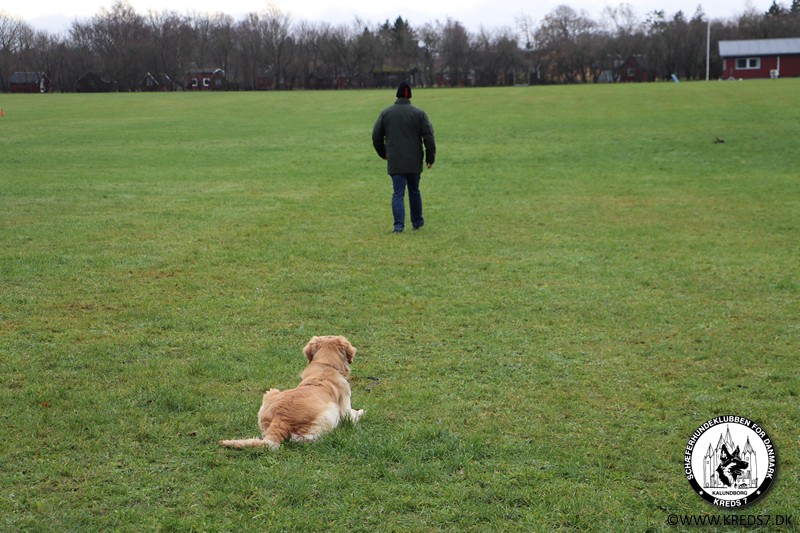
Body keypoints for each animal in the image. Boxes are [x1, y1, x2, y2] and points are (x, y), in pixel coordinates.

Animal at [221, 335, 364, 450]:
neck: (325, 366)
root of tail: (281, 418)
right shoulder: (345, 407)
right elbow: (352, 415)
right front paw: (360, 412)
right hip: (330, 411)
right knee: (300, 439)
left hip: (270, 394)